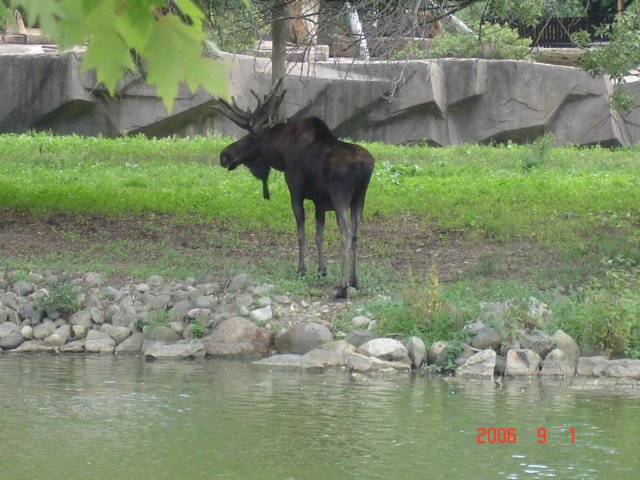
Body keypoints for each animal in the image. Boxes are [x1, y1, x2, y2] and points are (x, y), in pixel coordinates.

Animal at [211, 81, 375, 299]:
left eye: (252, 135)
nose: (225, 155)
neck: (281, 154)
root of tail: (364, 164)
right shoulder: (320, 202)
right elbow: (319, 235)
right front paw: (321, 270)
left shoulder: (296, 193)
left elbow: (301, 233)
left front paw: (302, 269)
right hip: (360, 197)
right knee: (356, 234)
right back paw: (355, 280)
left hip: (341, 197)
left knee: (346, 234)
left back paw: (343, 286)